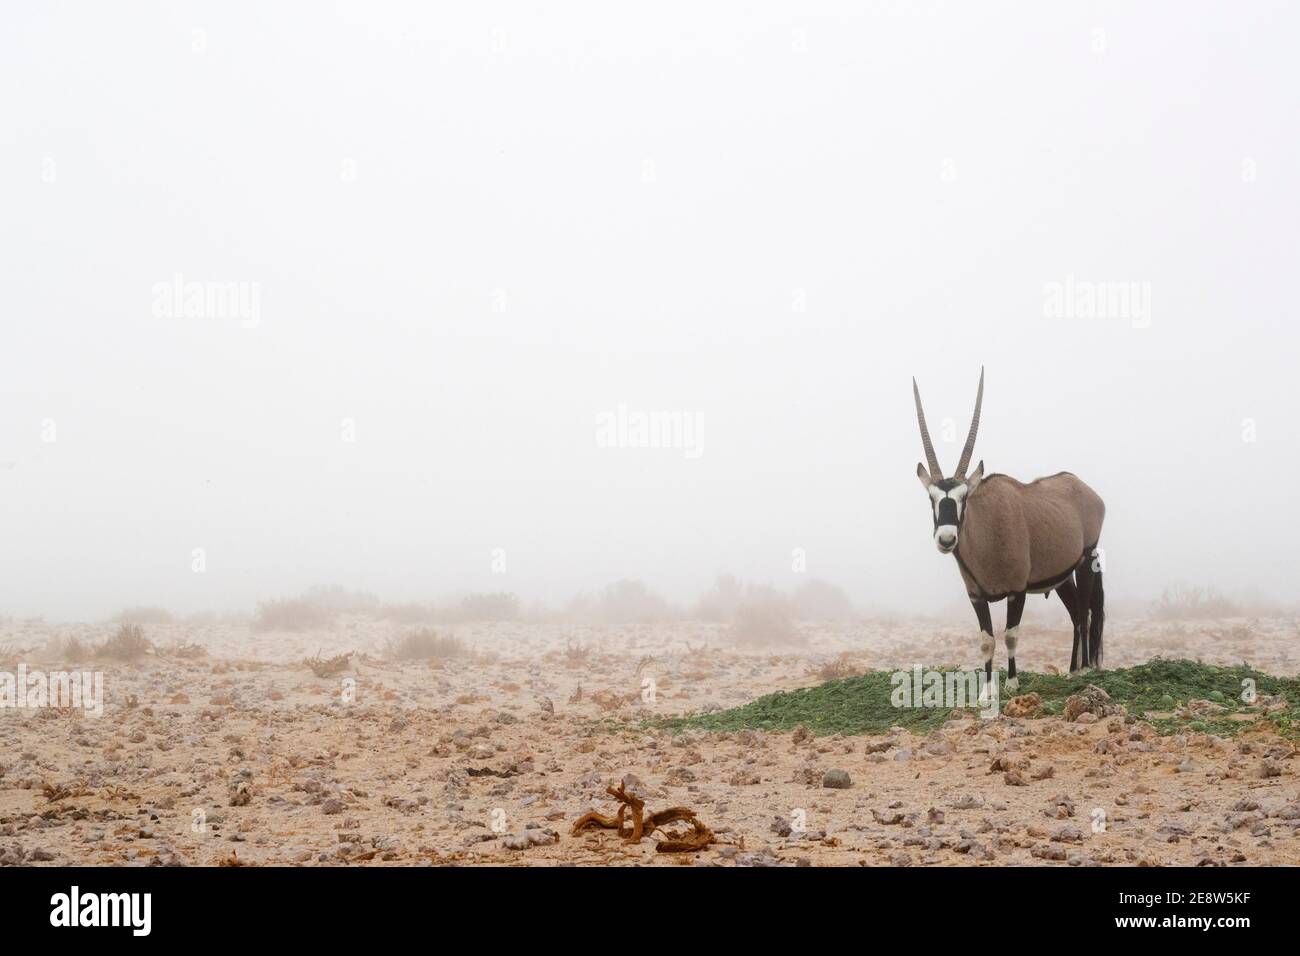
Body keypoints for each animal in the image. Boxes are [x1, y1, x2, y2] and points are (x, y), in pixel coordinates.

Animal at [915, 366, 1107, 686]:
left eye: (963, 497)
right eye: (932, 498)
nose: (946, 538)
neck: (987, 530)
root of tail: (1085, 489)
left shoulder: (1017, 591)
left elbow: (1010, 635)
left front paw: (1013, 682)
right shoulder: (976, 596)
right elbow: (987, 640)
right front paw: (986, 689)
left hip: (1085, 560)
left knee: (1085, 613)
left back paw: (1084, 669)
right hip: (1062, 577)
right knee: (1075, 615)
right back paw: (1071, 669)